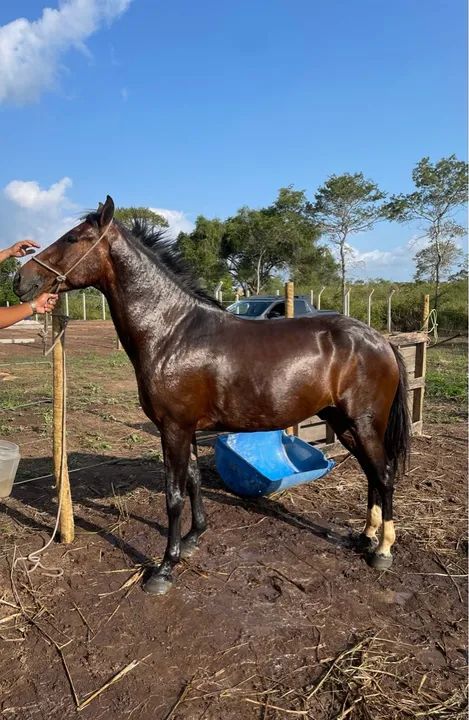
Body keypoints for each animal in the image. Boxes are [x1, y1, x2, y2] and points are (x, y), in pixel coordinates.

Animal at [14, 196, 410, 595]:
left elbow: (173, 496)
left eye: (72, 238)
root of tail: (380, 340)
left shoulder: (174, 428)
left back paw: (383, 550)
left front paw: (164, 568)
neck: (171, 332)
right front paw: (193, 538)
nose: (20, 279)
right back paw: (365, 536)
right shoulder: (185, 428)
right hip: (343, 423)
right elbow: (194, 481)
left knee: (384, 474)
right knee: (371, 474)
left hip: (364, 424)